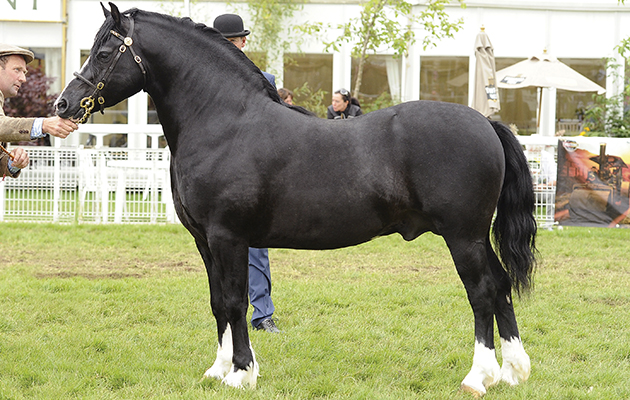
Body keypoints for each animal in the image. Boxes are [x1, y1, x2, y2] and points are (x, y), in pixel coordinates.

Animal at [56, 3, 540, 396]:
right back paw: (513, 371)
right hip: (475, 237)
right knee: (501, 286)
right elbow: (217, 302)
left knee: (482, 292)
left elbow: (235, 301)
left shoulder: (228, 237)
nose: (63, 105)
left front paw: (242, 374)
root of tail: (485, 123)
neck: (223, 122)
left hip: (463, 236)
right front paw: (218, 369)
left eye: (103, 53)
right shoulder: (204, 241)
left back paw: (478, 377)